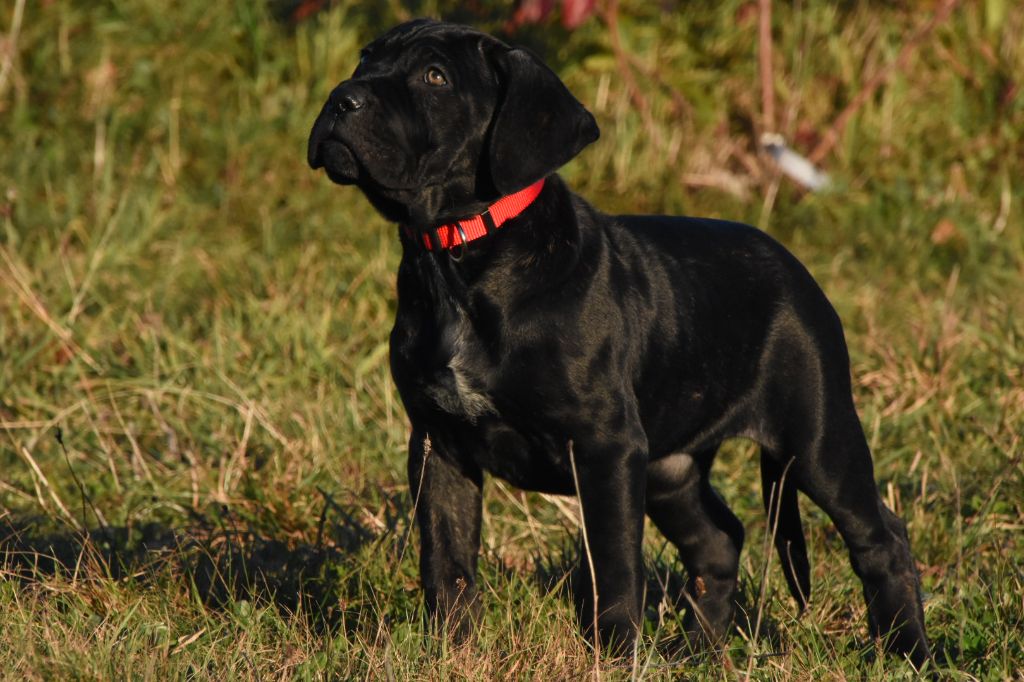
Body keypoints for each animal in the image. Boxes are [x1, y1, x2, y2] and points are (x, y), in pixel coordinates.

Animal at [307, 19, 933, 663]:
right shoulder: (439, 442)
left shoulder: (604, 445)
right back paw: (700, 651)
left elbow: (612, 567)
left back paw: (909, 651)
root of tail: (797, 270)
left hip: (816, 440)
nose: (341, 98)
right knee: (718, 539)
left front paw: (612, 655)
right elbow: (446, 561)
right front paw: (452, 652)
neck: (460, 256)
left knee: (881, 538)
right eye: (365, 59)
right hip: (670, 466)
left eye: (435, 77)